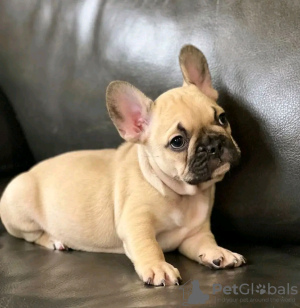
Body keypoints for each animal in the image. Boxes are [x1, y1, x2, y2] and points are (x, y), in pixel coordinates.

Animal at [0, 45, 246, 286]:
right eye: (177, 142)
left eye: (222, 118)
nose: (213, 144)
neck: (181, 195)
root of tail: (29, 171)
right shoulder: (135, 222)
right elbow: (148, 245)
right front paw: (158, 267)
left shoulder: (194, 234)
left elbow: (206, 242)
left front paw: (218, 252)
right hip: (20, 208)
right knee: (31, 235)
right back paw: (54, 239)